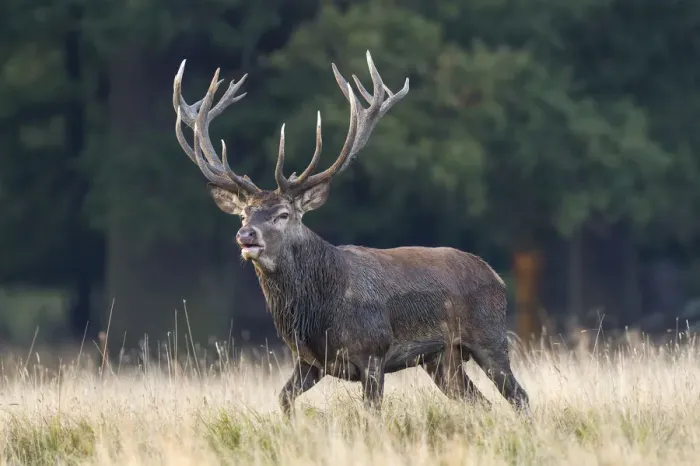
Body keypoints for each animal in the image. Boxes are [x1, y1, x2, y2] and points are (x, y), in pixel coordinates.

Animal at [172, 51, 530, 417]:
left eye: (284, 214)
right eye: (244, 214)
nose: (246, 236)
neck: (318, 311)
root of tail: (496, 276)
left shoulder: (372, 352)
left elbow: (372, 412)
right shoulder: (309, 361)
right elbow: (283, 399)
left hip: (489, 338)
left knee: (520, 396)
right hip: (442, 358)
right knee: (481, 403)